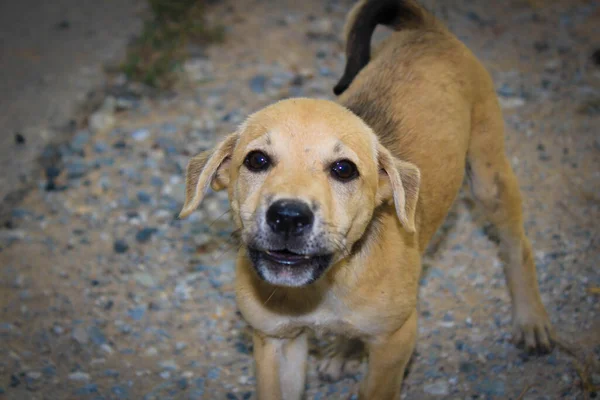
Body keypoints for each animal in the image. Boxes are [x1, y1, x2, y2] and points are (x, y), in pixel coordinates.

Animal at [178, 1, 552, 398]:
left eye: (344, 169)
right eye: (257, 160)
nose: (289, 217)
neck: (325, 285)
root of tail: (427, 28)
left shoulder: (395, 341)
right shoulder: (275, 343)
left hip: (487, 177)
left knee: (517, 245)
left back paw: (531, 319)